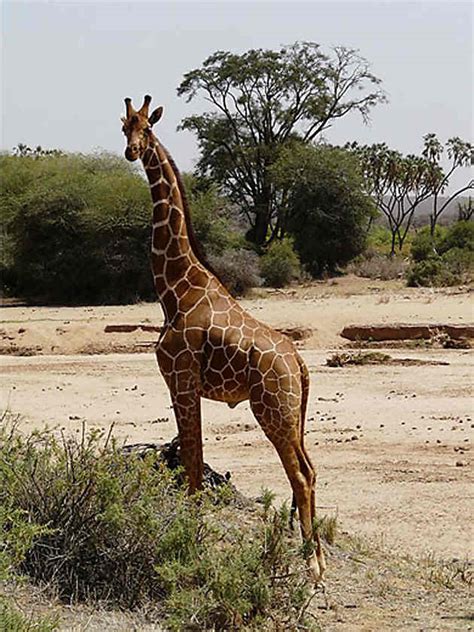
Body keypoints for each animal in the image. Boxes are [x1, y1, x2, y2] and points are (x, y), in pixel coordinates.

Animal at [120, 94, 326, 584]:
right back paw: (317, 559)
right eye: (124, 126)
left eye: (147, 128)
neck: (174, 289)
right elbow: (191, 460)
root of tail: (299, 363)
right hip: (293, 414)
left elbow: (192, 462)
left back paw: (310, 565)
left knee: (300, 476)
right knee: (311, 469)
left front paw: (190, 535)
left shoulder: (180, 379)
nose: (132, 152)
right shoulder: (185, 384)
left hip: (272, 410)